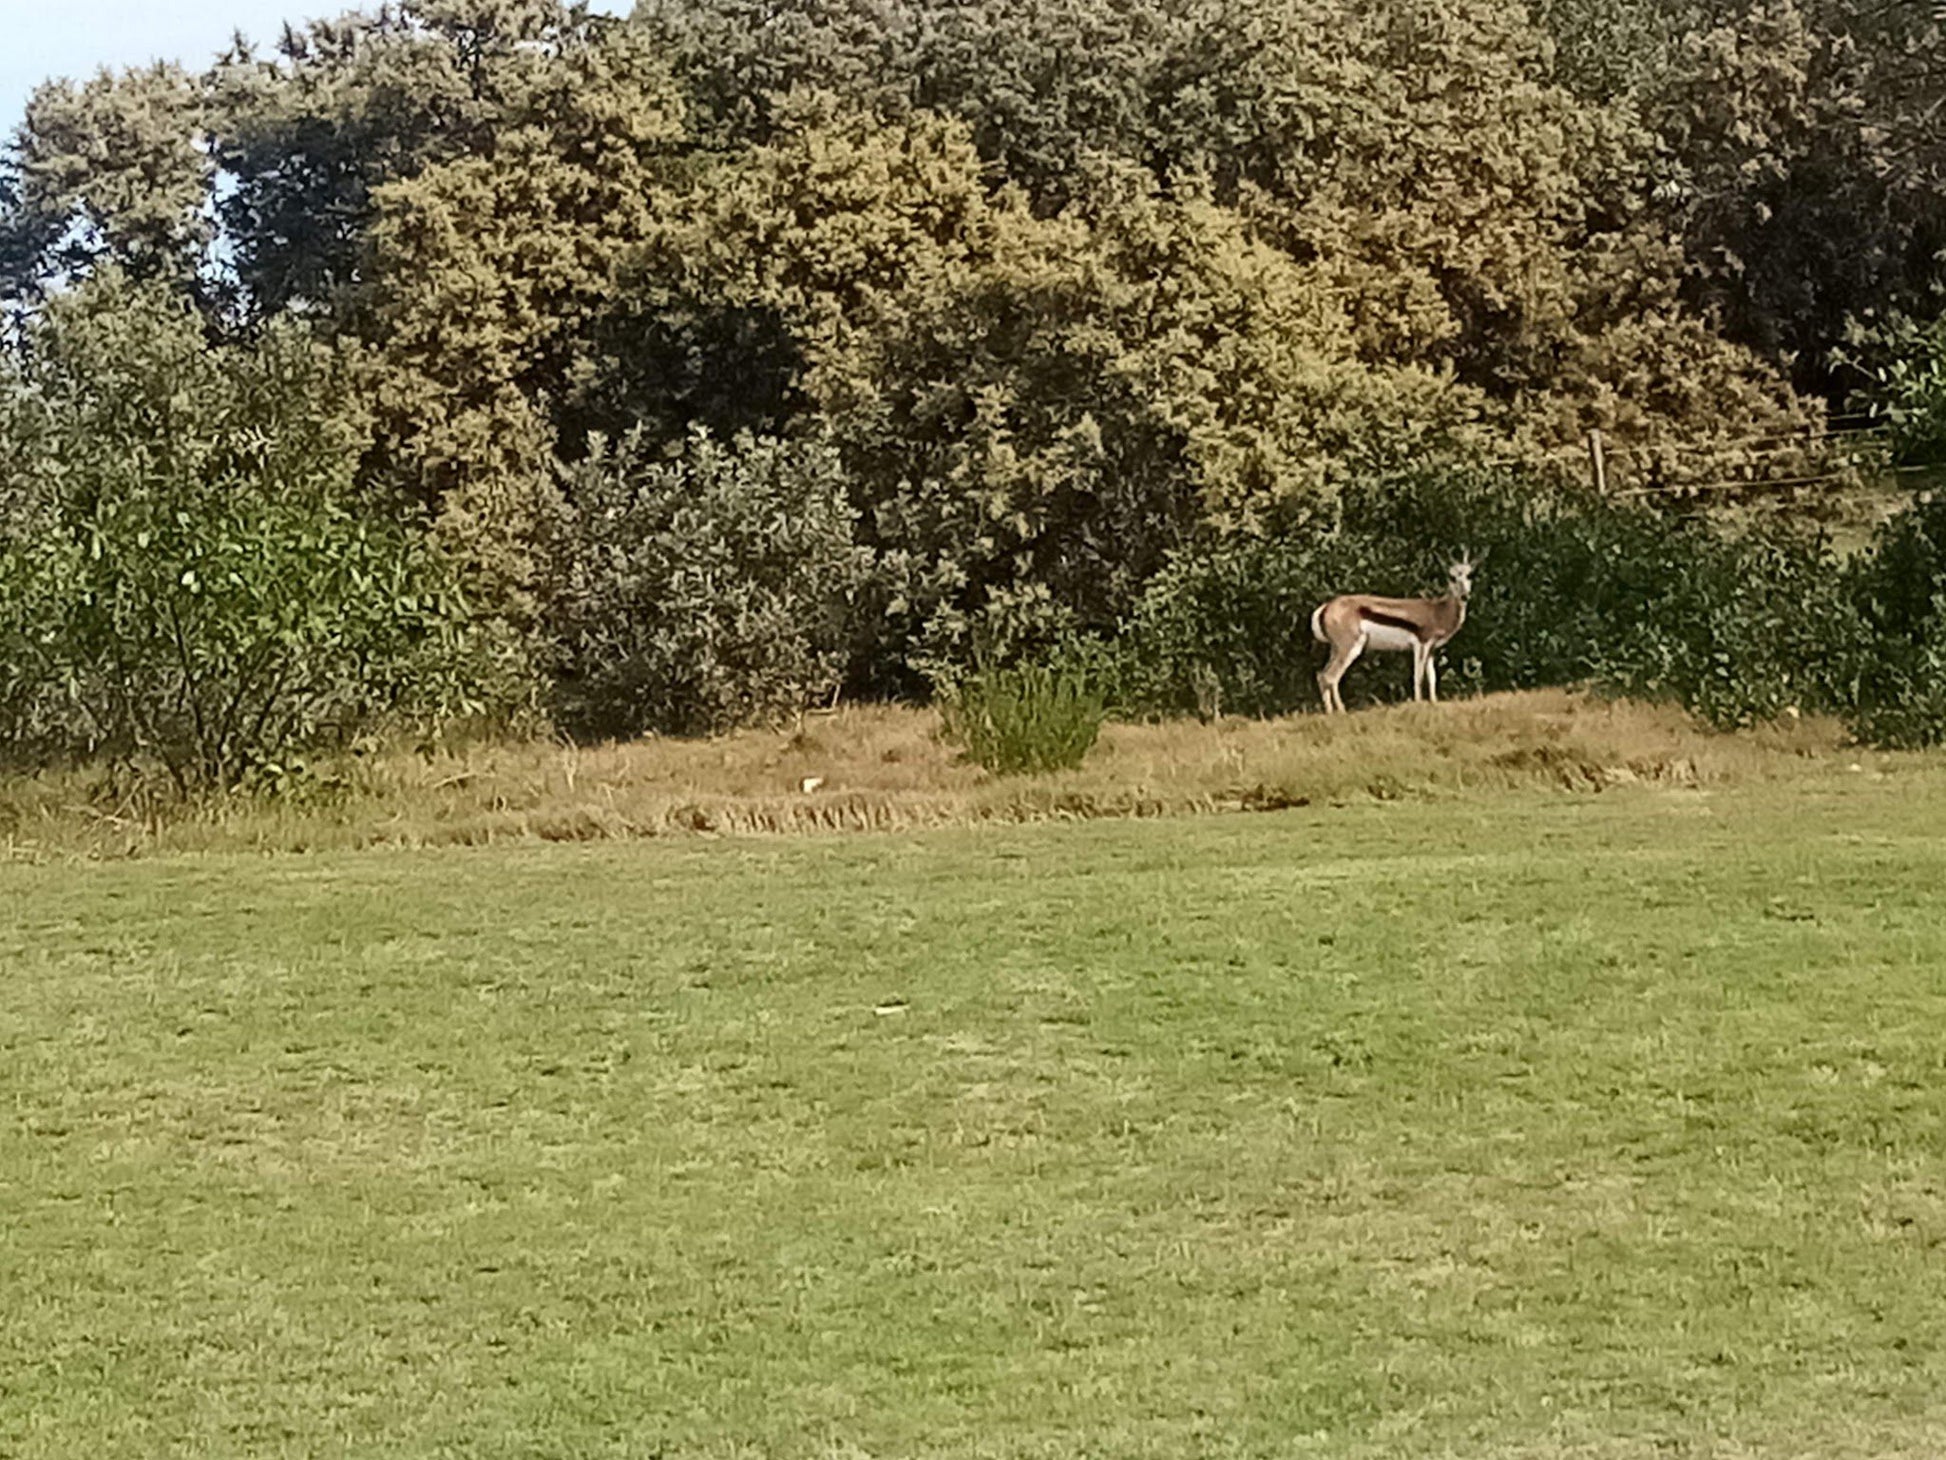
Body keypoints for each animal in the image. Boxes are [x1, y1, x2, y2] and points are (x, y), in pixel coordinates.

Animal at [1315, 556, 1478, 716]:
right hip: (1351, 648)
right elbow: (1418, 677)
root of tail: (1327, 607)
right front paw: (1418, 704)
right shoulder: (1421, 645)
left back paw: (1332, 711)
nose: (1464, 596)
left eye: (1469, 575)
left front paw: (1433, 703)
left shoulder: (1431, 649)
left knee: (1322, 676)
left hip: (1336, 649)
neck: (1437, 611)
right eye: (1452, 577)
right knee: (1329, 677)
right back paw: (1339, 712)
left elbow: (1432, 678)